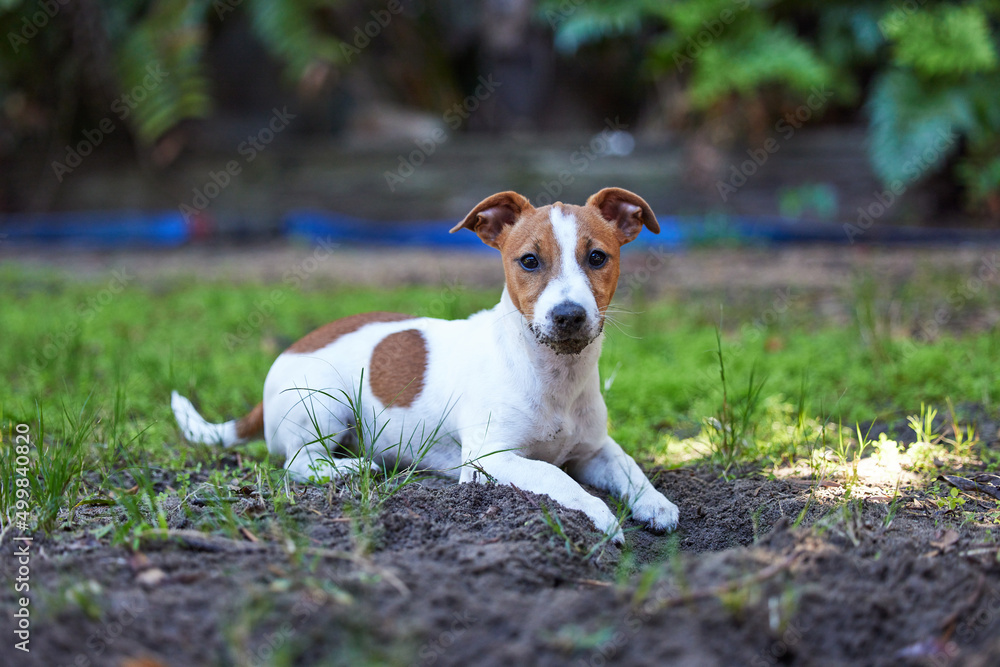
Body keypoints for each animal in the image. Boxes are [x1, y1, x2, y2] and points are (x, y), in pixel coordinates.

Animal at [176, 188, 684, 544]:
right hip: (325, 403)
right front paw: (600, 516)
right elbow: (555, 476)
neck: (552, 373)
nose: (569, 315)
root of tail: (289, 352)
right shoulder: (488, 461)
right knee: (297, 462)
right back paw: (345, 469)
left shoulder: (594, 450)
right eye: (529, 261)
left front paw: (654, 503)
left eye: (597, 257)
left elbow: (628, 465)